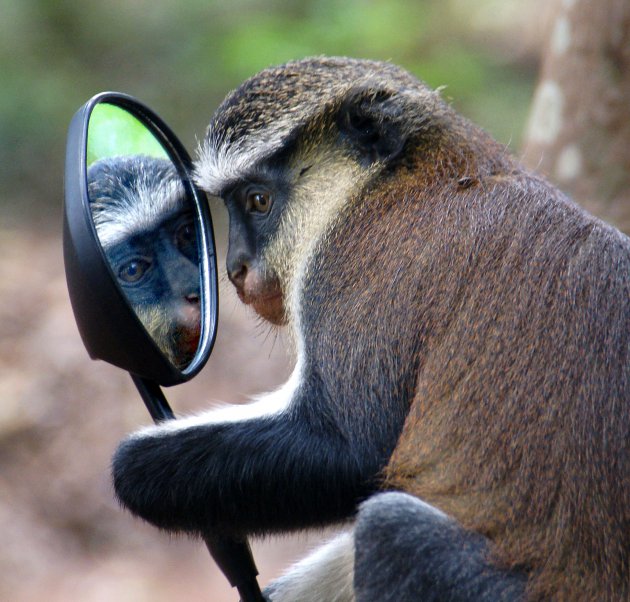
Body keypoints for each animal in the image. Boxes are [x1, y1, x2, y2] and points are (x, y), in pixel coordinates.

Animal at [113, 57, 630, 600]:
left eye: (257, 201)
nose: (234, 268)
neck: (396, 175)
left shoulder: (352, 259)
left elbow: (349, 449)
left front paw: (131, 468)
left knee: (391, 531)